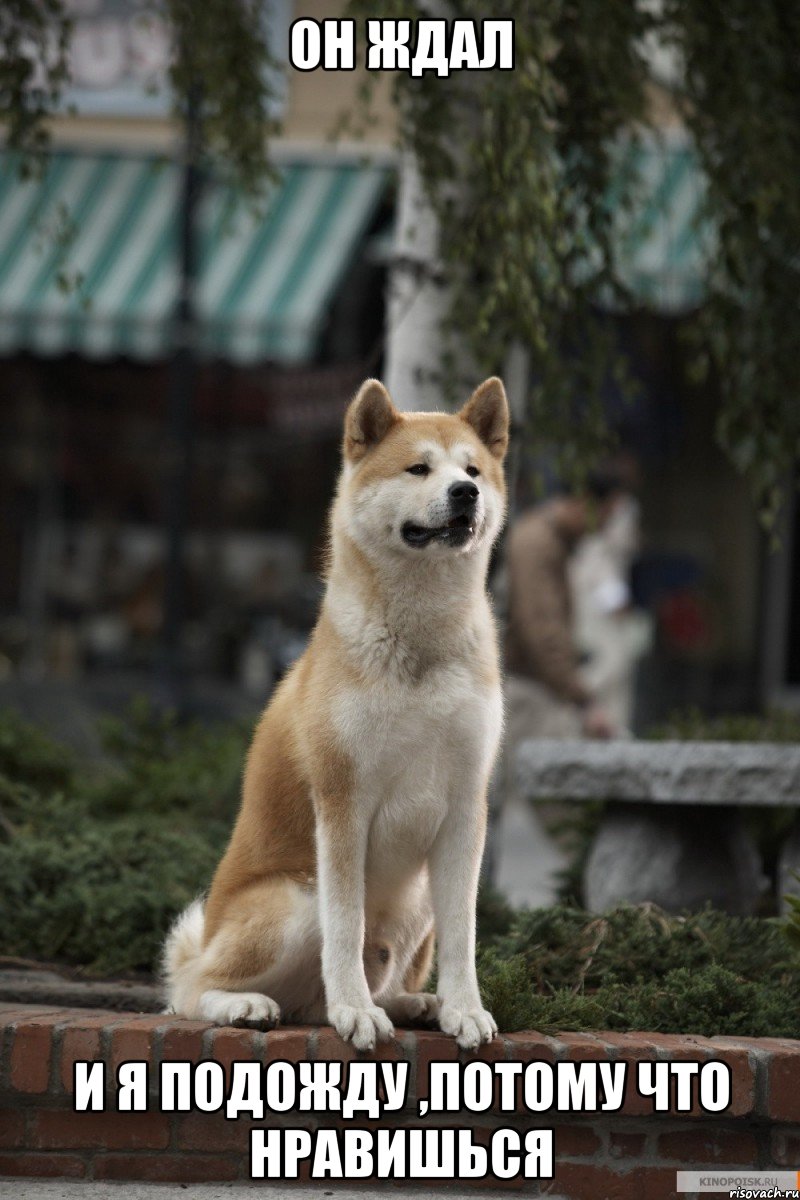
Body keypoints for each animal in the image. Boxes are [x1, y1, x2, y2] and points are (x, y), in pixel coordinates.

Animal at [165, 376, 510, 1051]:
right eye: (418, 468)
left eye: (473, 470)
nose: (466, 493)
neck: (420, 644)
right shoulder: (343, 801)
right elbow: (346, 928)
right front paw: (355, 1011)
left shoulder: (466, 806)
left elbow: (464, 934)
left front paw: (464, 1009)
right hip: (296, 899)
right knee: (189, 990)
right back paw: (250, 1005)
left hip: (417, 900)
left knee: (362, 984)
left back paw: (415, 1003)